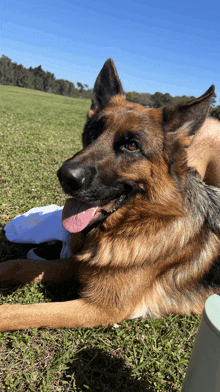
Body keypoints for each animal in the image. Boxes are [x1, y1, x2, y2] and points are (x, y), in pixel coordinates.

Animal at [0, 59, 220, 330]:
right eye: (92, 132)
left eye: (132, 145)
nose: (65, 176)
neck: (136, 223)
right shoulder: (80, 264)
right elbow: (18, 264)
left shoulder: (100, 308)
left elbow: (22, 312)